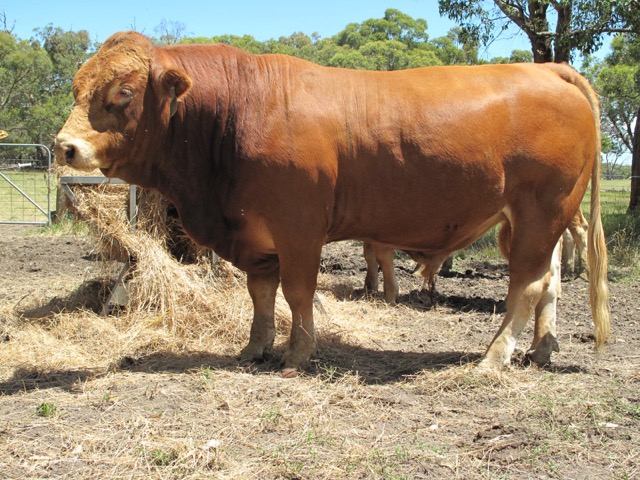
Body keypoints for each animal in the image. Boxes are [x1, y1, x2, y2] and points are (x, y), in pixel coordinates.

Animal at [53, 31, 608, 374]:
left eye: (124, 92)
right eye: (78, 87)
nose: (65, 146)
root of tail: (550, 70)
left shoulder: (298, 227)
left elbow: (298, 293)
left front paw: (298, 353)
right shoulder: (255, 237)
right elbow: (260, 293)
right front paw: (255, 347)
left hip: (541, 212)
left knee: (527, 286)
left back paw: (495, 356)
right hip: (534, 223)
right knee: (549, 283)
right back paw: (540, 349)